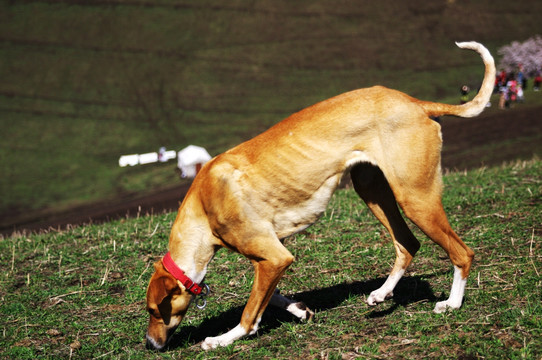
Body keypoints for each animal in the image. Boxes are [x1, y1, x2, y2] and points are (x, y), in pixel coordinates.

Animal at [144, 40, 498, 350]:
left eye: (154, 310)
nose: (149, 344)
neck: (203, 205)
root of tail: (414, 102)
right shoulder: (274, 253)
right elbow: (266, 297)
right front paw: (298, 309)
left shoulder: (274, 256)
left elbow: (248, 313)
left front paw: (222, 339)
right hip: (373, 192)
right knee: (408, 244)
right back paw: (381, 294)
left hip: (415, 199)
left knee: (462, 253)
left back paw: (451, 303)